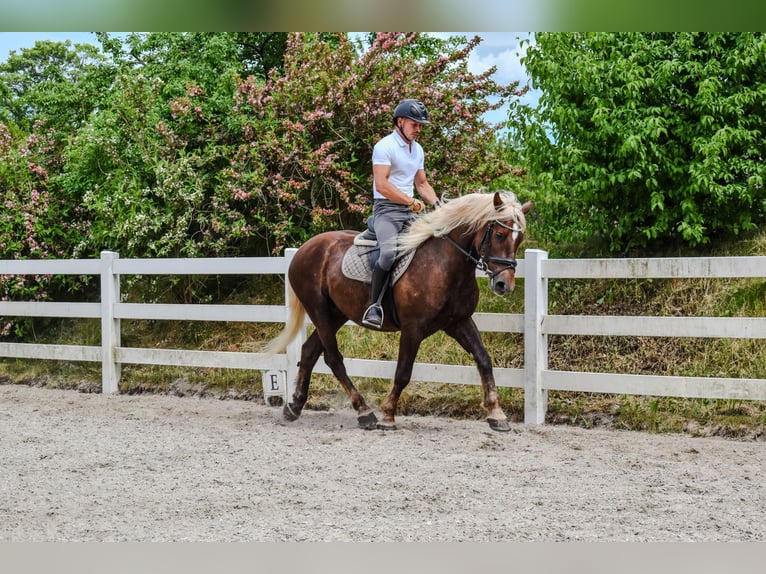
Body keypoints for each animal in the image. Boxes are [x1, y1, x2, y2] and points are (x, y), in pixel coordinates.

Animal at [264, 191, 532, 432]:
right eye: (499, 234)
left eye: (519, 239)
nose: (504, 285)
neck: (445, 264)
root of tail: (304, 249)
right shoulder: (413, 328)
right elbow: (403, 372)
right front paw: (388, 415)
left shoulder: (459, 322)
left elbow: (484, 359)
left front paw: (497, 415)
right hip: (318, 310)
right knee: (334, 359)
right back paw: (364, 412)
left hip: (336, 314)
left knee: (310, 352)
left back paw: (294, 407)